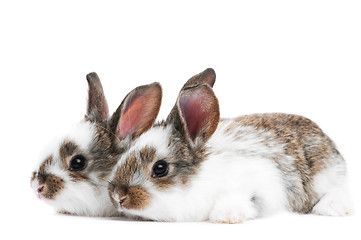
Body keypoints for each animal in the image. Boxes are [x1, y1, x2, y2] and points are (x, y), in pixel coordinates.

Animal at [108, 82, 352, 223]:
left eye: (160, 168)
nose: (118, 197)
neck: (202, 179)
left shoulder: (261, 177)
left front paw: (226, 216)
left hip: (326, 177)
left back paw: (330, 209)